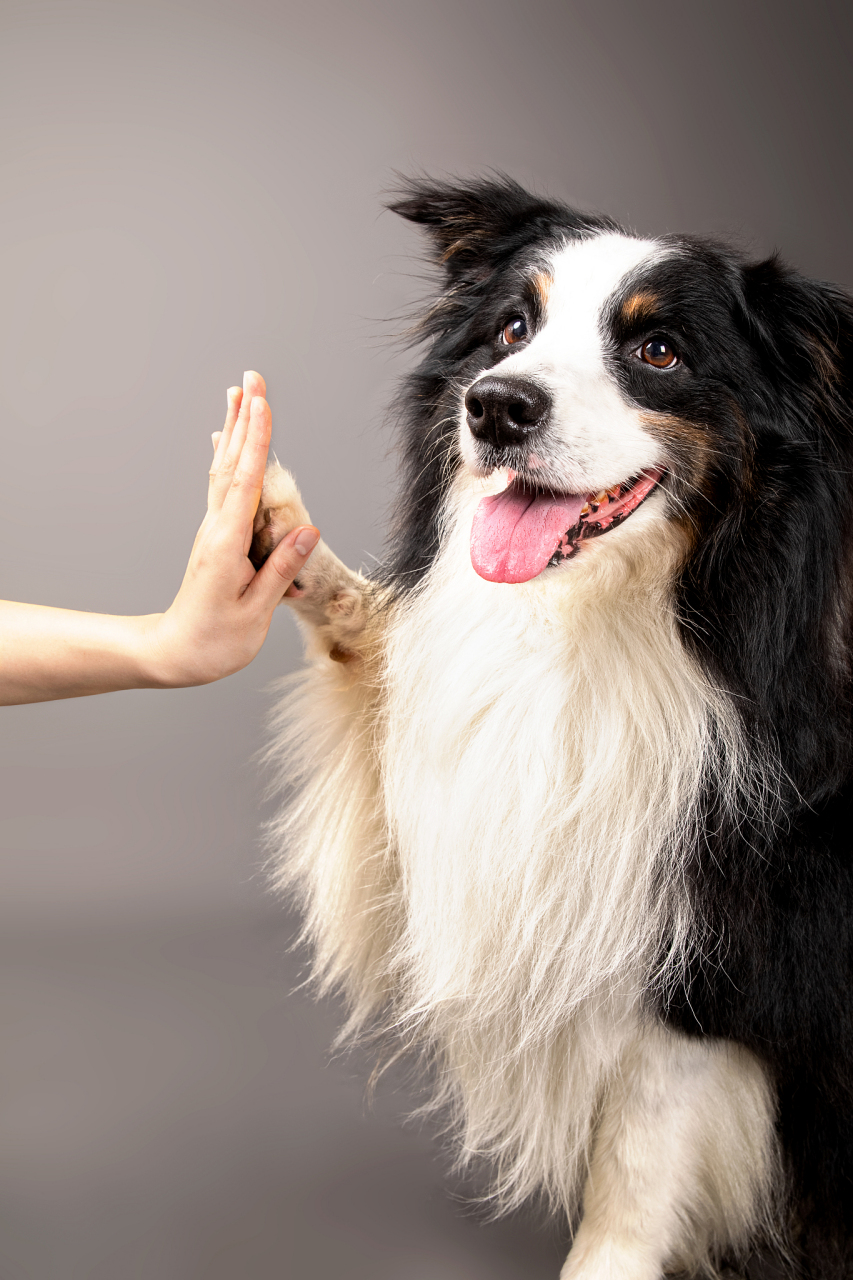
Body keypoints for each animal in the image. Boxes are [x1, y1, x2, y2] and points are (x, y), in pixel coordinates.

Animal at [251, 175, 850, 1274]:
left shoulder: (719, 943)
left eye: (658, 350)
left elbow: (640, 1155)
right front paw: (274, 521)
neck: (601, 621)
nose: (494, 403)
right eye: (511, 328)